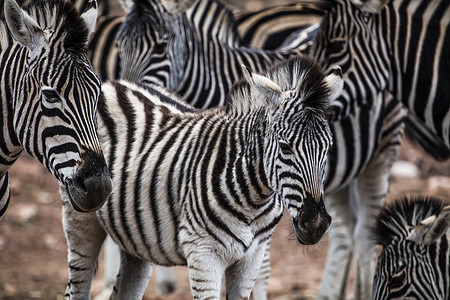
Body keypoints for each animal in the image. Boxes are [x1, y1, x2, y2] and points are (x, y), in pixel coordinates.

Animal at [60, 56, 344, 300]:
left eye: (328, 148)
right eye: (286, 147)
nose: (316, 224)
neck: (253, 200)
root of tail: (111, 84)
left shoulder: (252, 258)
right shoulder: (204, 255)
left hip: (134, 239)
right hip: (81, 218)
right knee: (75, 288)